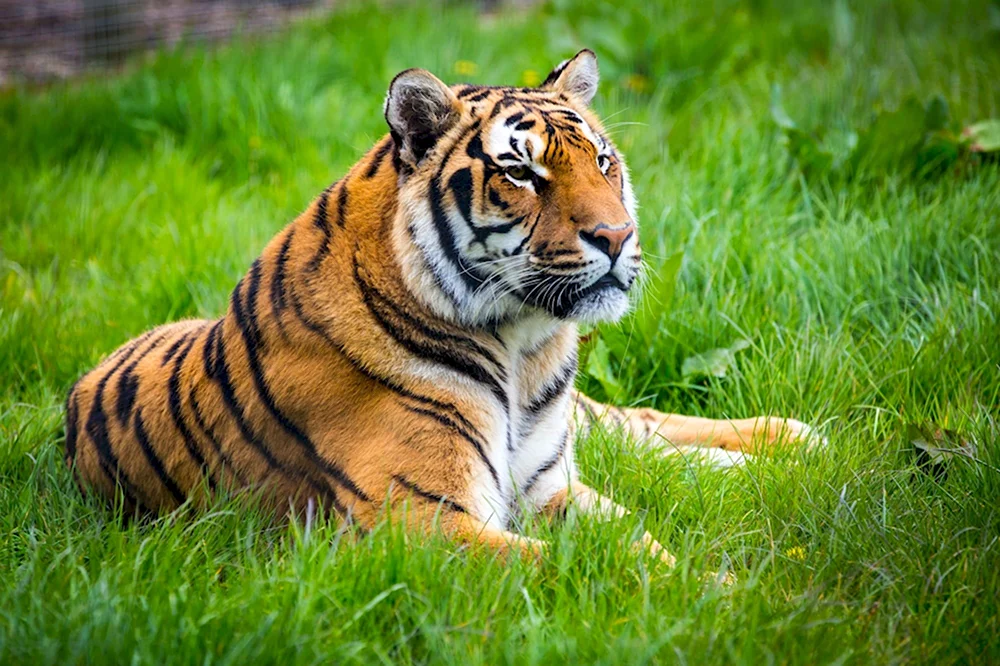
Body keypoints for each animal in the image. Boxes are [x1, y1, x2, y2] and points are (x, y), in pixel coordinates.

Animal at [64, 50, 822, 565]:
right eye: (521, 172)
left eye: (603, 162)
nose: (617, 236)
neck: (522, 346)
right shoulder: (415, 518)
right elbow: (578, 567)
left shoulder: (549, 487)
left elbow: (642, 545)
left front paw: (726, 592)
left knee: (644, 428)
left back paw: (794, 443)